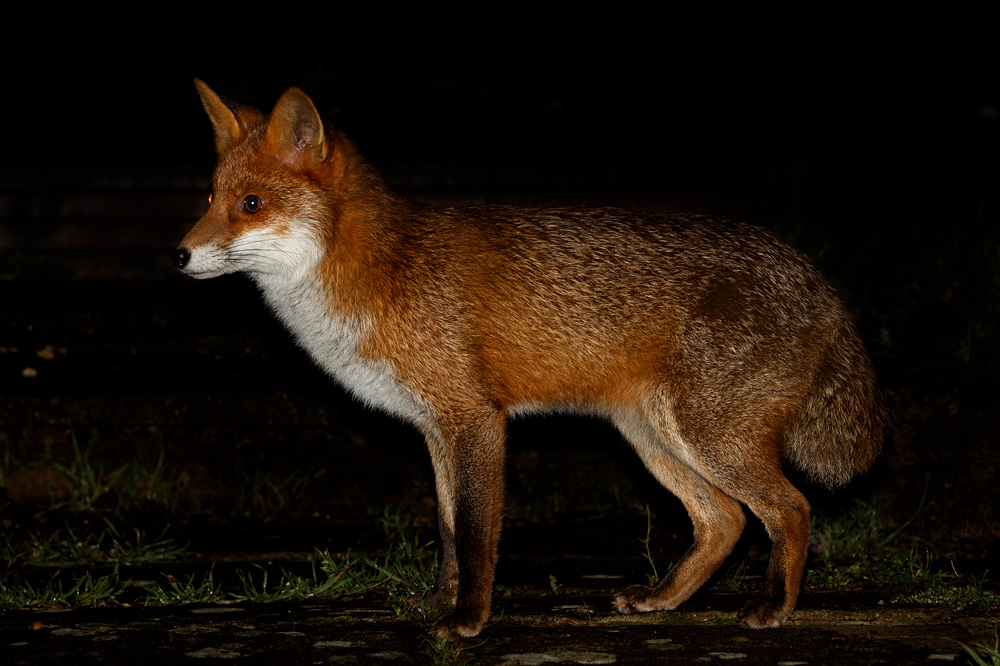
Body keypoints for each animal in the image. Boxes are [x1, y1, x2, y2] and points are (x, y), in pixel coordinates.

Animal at [171, 80, 885, 640]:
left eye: (251, 205)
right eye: (208, 199)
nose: (178, 256)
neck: (378, 276)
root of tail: (817, 282)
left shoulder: (477, 420)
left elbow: (476, 533)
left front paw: (468, 621)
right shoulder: (436, 428)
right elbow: (447, 531)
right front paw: (438, 604)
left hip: (710, 438)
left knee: (790, 509)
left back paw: (773, 607)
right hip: (653, 437)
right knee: (725, 521)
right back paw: (662, 601)